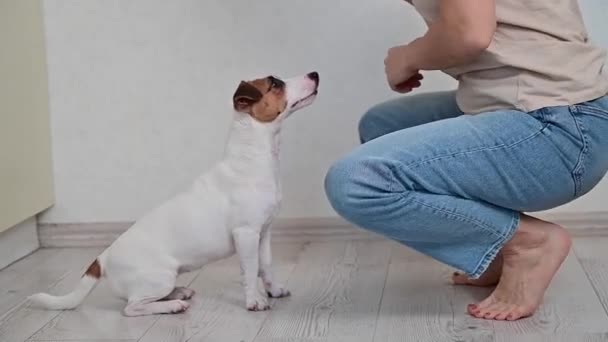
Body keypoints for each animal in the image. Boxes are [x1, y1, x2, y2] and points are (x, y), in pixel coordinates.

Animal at [28, 71, 320, 316]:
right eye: (275, 83)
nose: (314, 74)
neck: (252, 157)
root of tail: (103, 258)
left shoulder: (264, 232)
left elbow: (265, 266)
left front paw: (274, 290)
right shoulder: (246, 234)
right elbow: (249, 272)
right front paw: (255, 301)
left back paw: (178, 293)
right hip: (159, 277)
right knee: (132, 307)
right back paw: (172, 305)